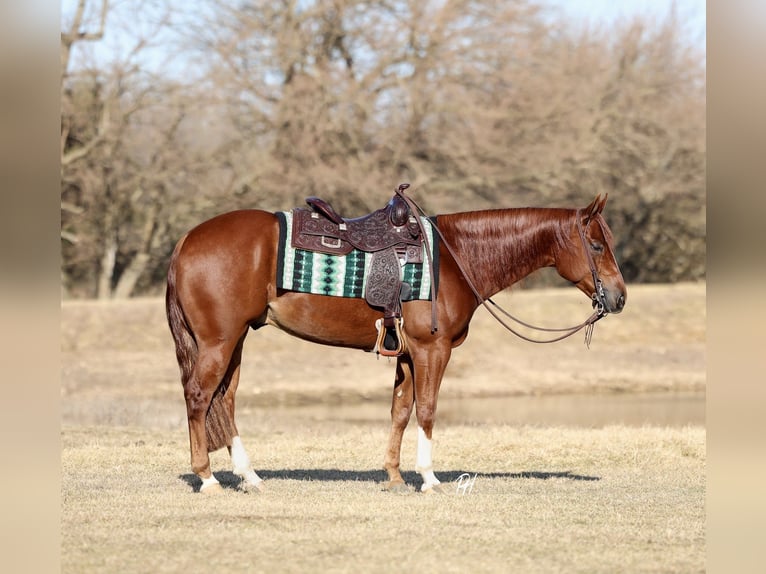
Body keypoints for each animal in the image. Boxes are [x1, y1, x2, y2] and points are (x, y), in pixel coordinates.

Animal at [165, 193, 626, 494]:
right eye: (596, 244)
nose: (619, 298)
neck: (455, 258)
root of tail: (186, 240)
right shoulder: (431, 351)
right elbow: (427, 411)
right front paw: (429, 478)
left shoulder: (406, 354)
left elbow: (400, 412)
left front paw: (394, 475)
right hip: (219, 342)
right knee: (199, 397)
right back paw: (207, 478)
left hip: (236, 340)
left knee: (224, 401)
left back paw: (249, 476)